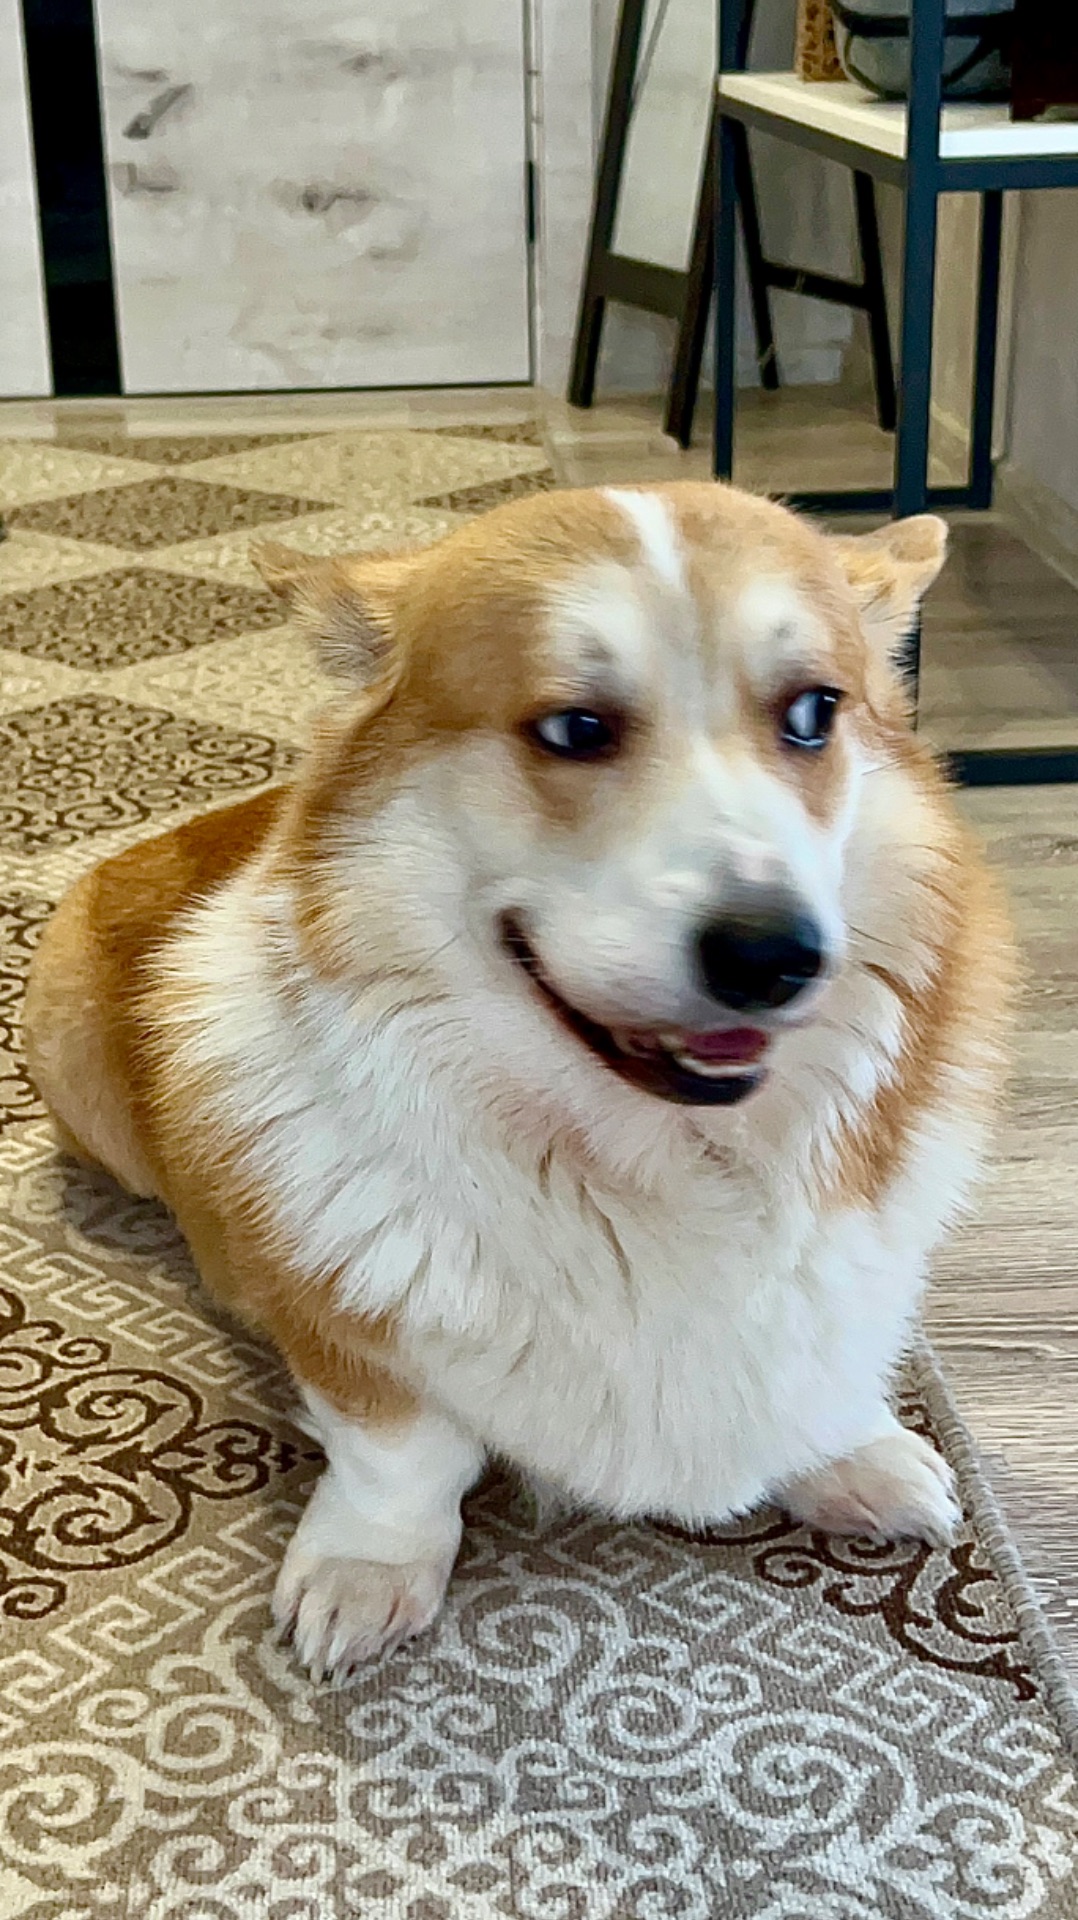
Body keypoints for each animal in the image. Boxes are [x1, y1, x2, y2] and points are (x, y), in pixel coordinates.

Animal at [24, 480, 1014, 1682]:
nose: (776, 955)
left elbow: (824, 1362)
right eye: (575, 729)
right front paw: (367, 1571)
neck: (657, 1171)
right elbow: (403, 1454)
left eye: (814, 713)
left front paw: (854, 1454)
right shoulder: (344, 1334)